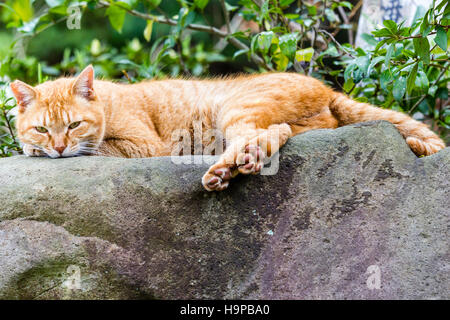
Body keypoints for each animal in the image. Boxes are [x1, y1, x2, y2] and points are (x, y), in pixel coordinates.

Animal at [11, 65, 446, 190]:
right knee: (280, 133)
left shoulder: (143, 145)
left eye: (73, 125)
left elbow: (99, 147)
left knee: (260, 136)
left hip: (237, 108)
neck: (108, 100)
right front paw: (31, 148)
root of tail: (326, 87)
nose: (58, 147)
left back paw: (227, 167)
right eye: (43, 129)